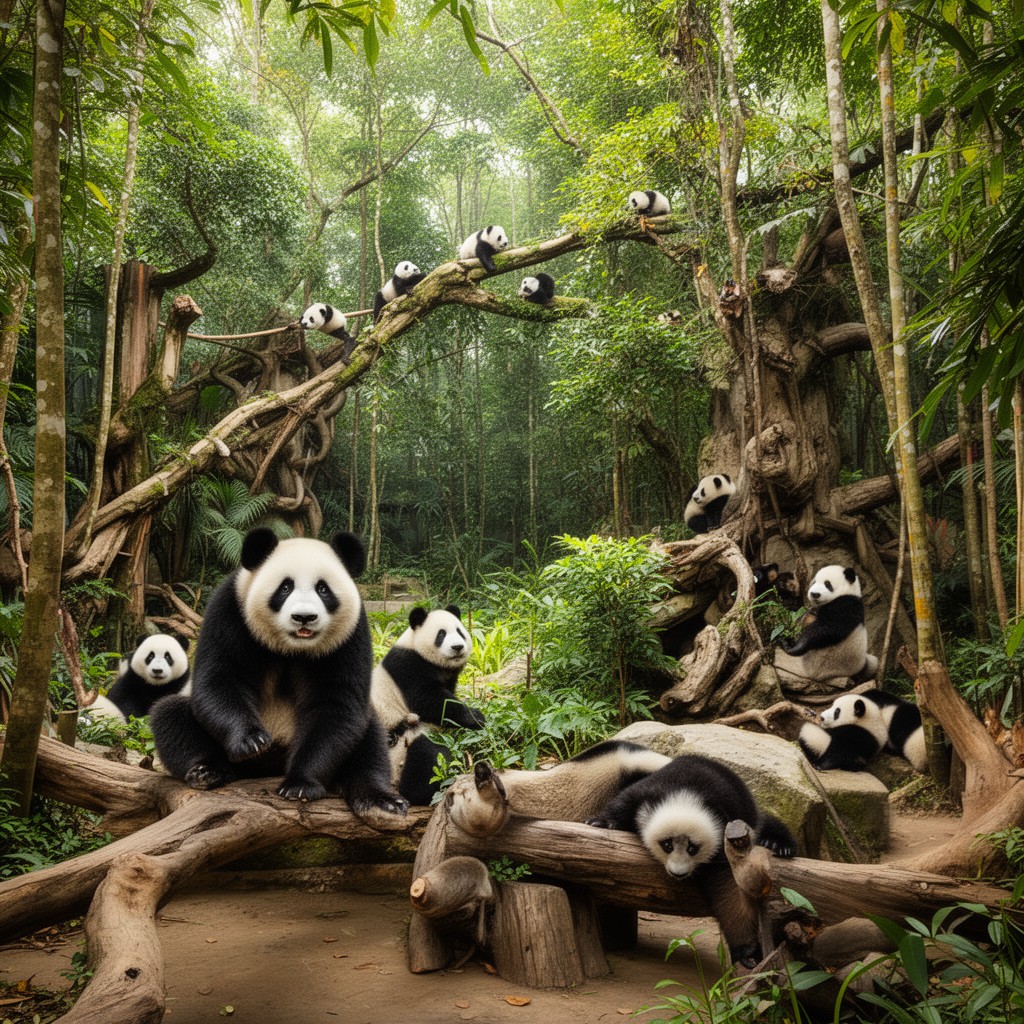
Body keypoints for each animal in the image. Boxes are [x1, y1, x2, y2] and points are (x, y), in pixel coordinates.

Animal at [150, 528, 406, 816]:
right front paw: (251, 741)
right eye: (285, 587)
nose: (304, 617)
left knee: (369, 736)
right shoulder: (230, 611)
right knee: (171, 717)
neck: (291, 648)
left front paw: (301, 785)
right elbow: (219, 681)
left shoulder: (351, 635)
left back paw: (380, 799)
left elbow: (336, 706)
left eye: (323, 589)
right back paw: (208, 772)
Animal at [371, 605, 484, 805]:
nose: (457, 647)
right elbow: (429, 700)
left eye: (459, 632)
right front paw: (476, 717)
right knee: (429, 753)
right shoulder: (408, 667)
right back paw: (421, 791)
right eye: (441, 634)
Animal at [586, 753, 797, 967]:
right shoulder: (647, 792)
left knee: (767, 823)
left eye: (692, 848)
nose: (678, 873)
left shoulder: (726, 830)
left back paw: (778, 844)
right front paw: (602, 822)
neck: (687, 795)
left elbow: (729, 890)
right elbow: (624, 803)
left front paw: (746, 951)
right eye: (667, 845)